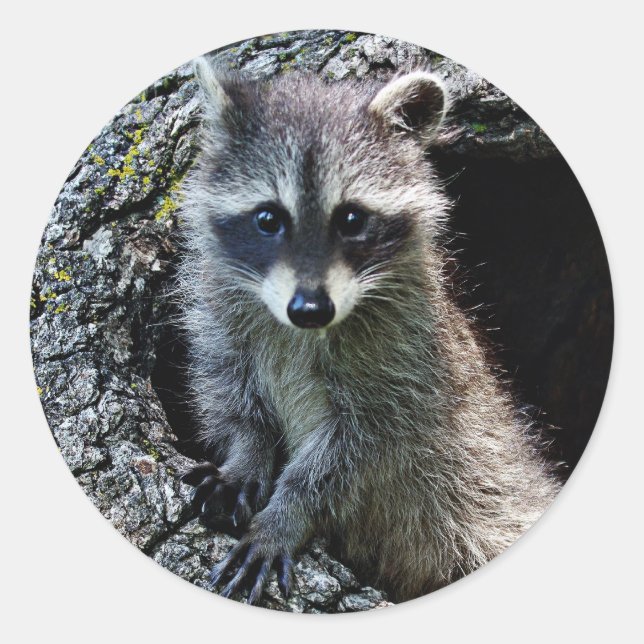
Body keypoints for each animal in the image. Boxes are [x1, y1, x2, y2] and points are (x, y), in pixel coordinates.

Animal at [178, 57, 561, 605]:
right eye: (268, 217)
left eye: (352, 218)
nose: (310, 309)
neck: (305, 330)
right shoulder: (220, 311)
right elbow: (228, 388)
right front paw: (246, 455)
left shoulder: (403, 362)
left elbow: (354, 456)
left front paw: (288, 511)